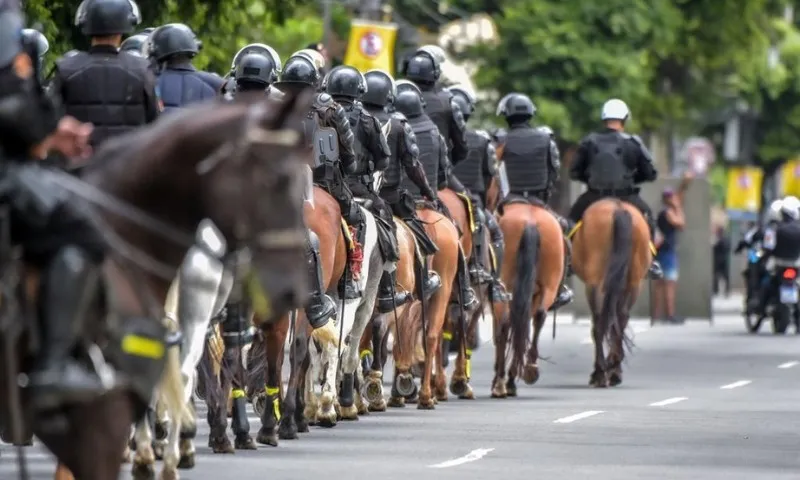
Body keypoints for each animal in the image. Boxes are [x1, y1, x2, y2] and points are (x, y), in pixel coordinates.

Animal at [494, 200, 564, 398]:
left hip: (506, 287)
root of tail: (530, 222)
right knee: (538, 316)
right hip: (549, 285)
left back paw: (502, 381)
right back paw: (529, 369)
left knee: (505, 324)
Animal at [568, 199, 648, 386]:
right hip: (634, 283)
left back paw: (599, 373)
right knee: (621, 318)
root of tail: (618, 209)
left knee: (598, 323)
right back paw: (614, 369)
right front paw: (614, 367)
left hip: (595, 283)